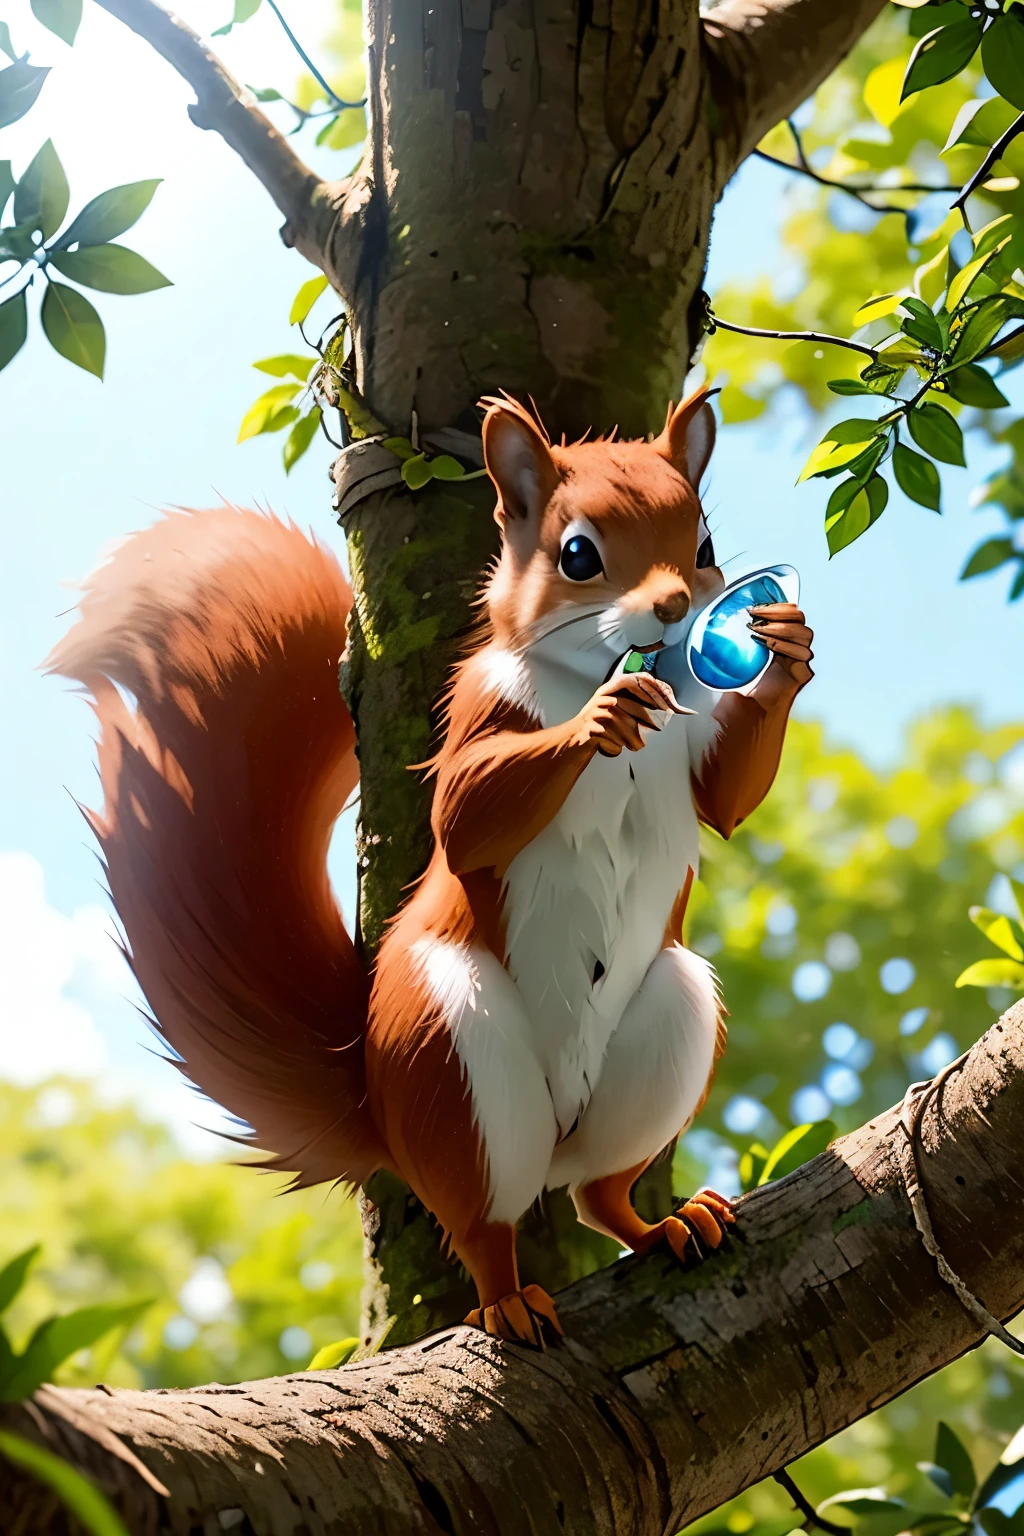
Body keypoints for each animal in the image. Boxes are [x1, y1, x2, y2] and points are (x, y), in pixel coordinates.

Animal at [49, 380, 816, 1345]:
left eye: (706, 544)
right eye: (577, 555)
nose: (680, 607)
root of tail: (382, 1112)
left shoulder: (694, 745)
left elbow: (725, 799)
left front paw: (788, 654)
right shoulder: (484, 709)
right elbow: (466, 816)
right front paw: (599, 719)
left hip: (669, 1028)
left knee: (598, 1194)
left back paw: (667, 1224)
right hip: (453, 1054)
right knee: (484, 1221)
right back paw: (508, 1299)